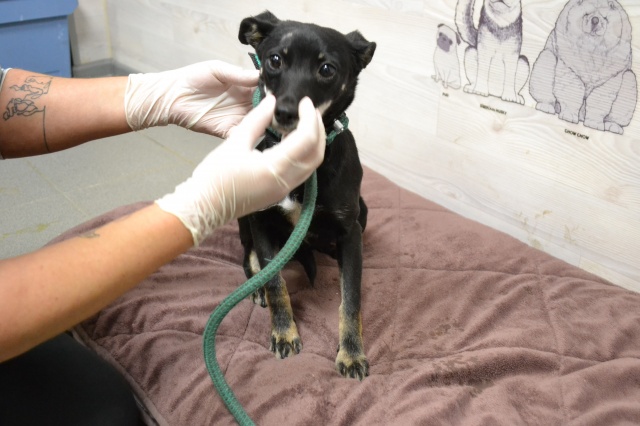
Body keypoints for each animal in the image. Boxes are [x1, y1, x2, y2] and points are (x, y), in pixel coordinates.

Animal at [237, 11, 376, 380]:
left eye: (326, 69)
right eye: (274, 60)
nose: (284, 113)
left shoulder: (350, 232)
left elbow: (351, 297)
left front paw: (351, 352)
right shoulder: (262, 220)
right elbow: (275, 282)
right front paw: (284, 333)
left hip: (362, 210)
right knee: (248, 258)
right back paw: (255, 287)